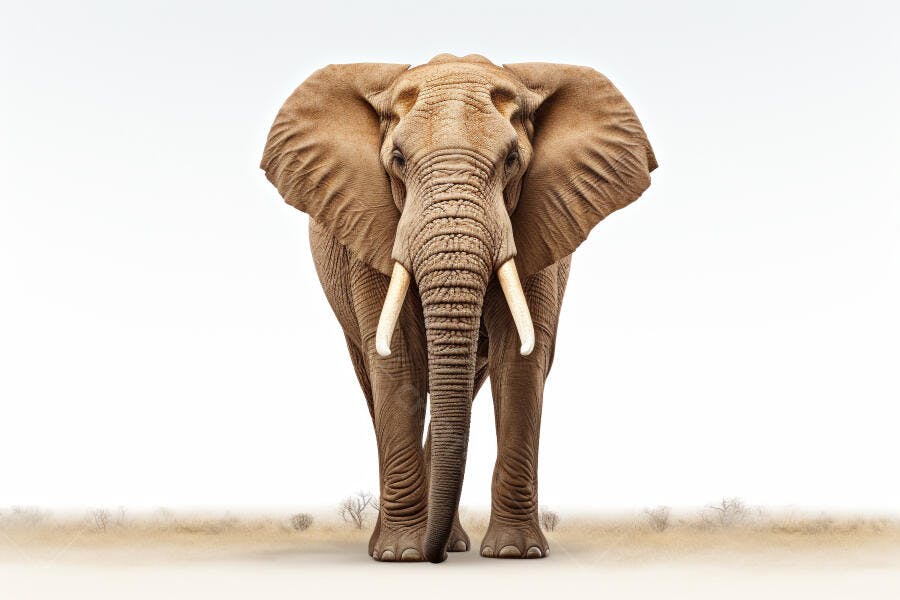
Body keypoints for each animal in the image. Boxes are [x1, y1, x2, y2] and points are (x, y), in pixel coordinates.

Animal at [260, 53, 656, 563]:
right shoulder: (370, 226)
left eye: (512, 161)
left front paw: (515, 553)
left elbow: (520, 360)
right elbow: (397, 358)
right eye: (397, 160)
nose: (435, 559)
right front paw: (402, 556)